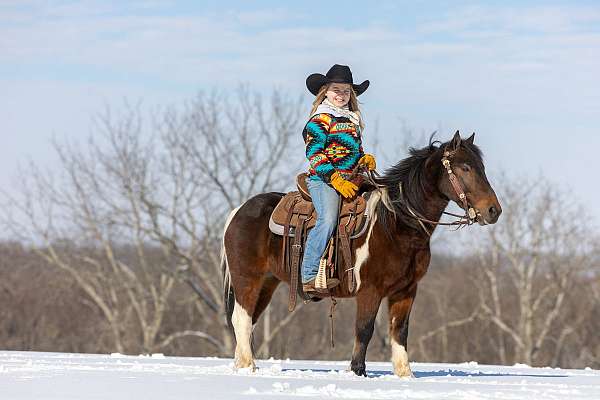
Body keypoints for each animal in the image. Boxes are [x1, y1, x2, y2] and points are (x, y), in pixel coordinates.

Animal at [220, 132, 502, 378]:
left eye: (482, 167)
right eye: (465, 168)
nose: (493, 210)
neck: (396, 224)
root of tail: (238, 211)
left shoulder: (407, 290)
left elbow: (400, 331)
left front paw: (405, 374)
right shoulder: (370, 290)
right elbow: (365, 329)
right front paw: (358, 371)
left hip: (267, 283)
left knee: (249, 321)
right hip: (247, 280)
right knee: (241, 319)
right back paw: (248, 367)